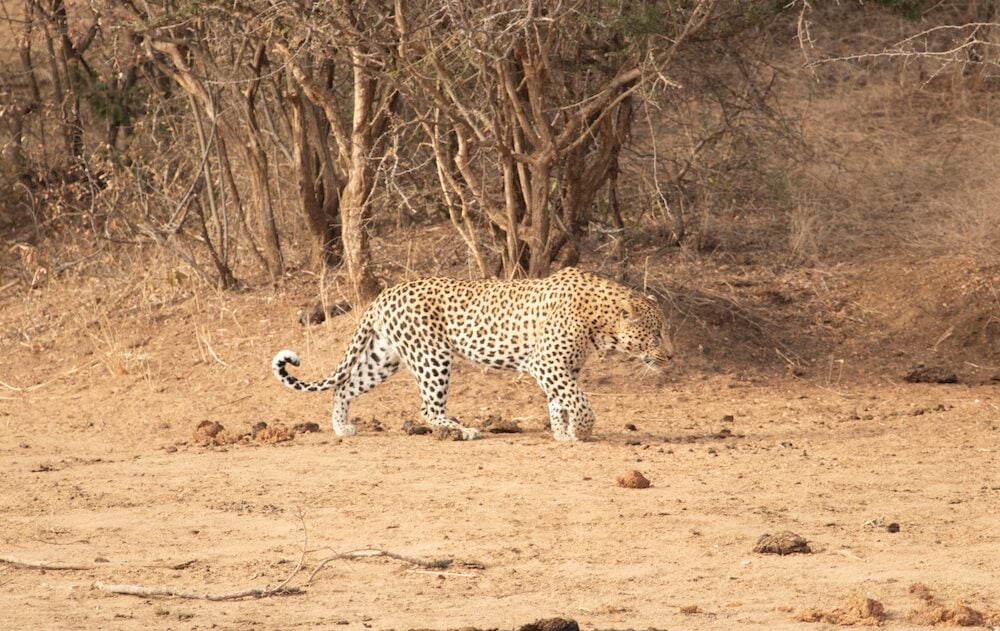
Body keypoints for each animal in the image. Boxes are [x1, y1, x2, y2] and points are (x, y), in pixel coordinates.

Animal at [271, 267, 672, 441]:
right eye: (655, 333)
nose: (671, 357)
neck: (599, 321)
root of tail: (384, 295)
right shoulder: (547, 364)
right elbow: (581, 401)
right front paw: (581, 431)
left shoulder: (565, 368)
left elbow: (561, 402)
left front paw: (563, 432)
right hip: (432, 356)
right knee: (428, 409)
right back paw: (463, 430)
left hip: (384, 358)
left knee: (345, 387)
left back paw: (342, 427)